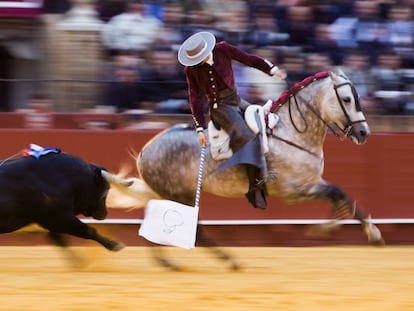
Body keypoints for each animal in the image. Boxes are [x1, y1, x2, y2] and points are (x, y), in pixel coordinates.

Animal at [103, 70, 384, 270]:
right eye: (347, 99)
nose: (364, 133)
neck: (291, 133)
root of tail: (146, 150)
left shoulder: (314, 182)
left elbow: (341, 194)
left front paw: (363, 232)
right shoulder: (293, 191)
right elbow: (337, 193)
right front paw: (332, 230)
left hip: (170, 194)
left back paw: (167, 261)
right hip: (181, 195)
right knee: (194, 229)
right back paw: (228, 260)